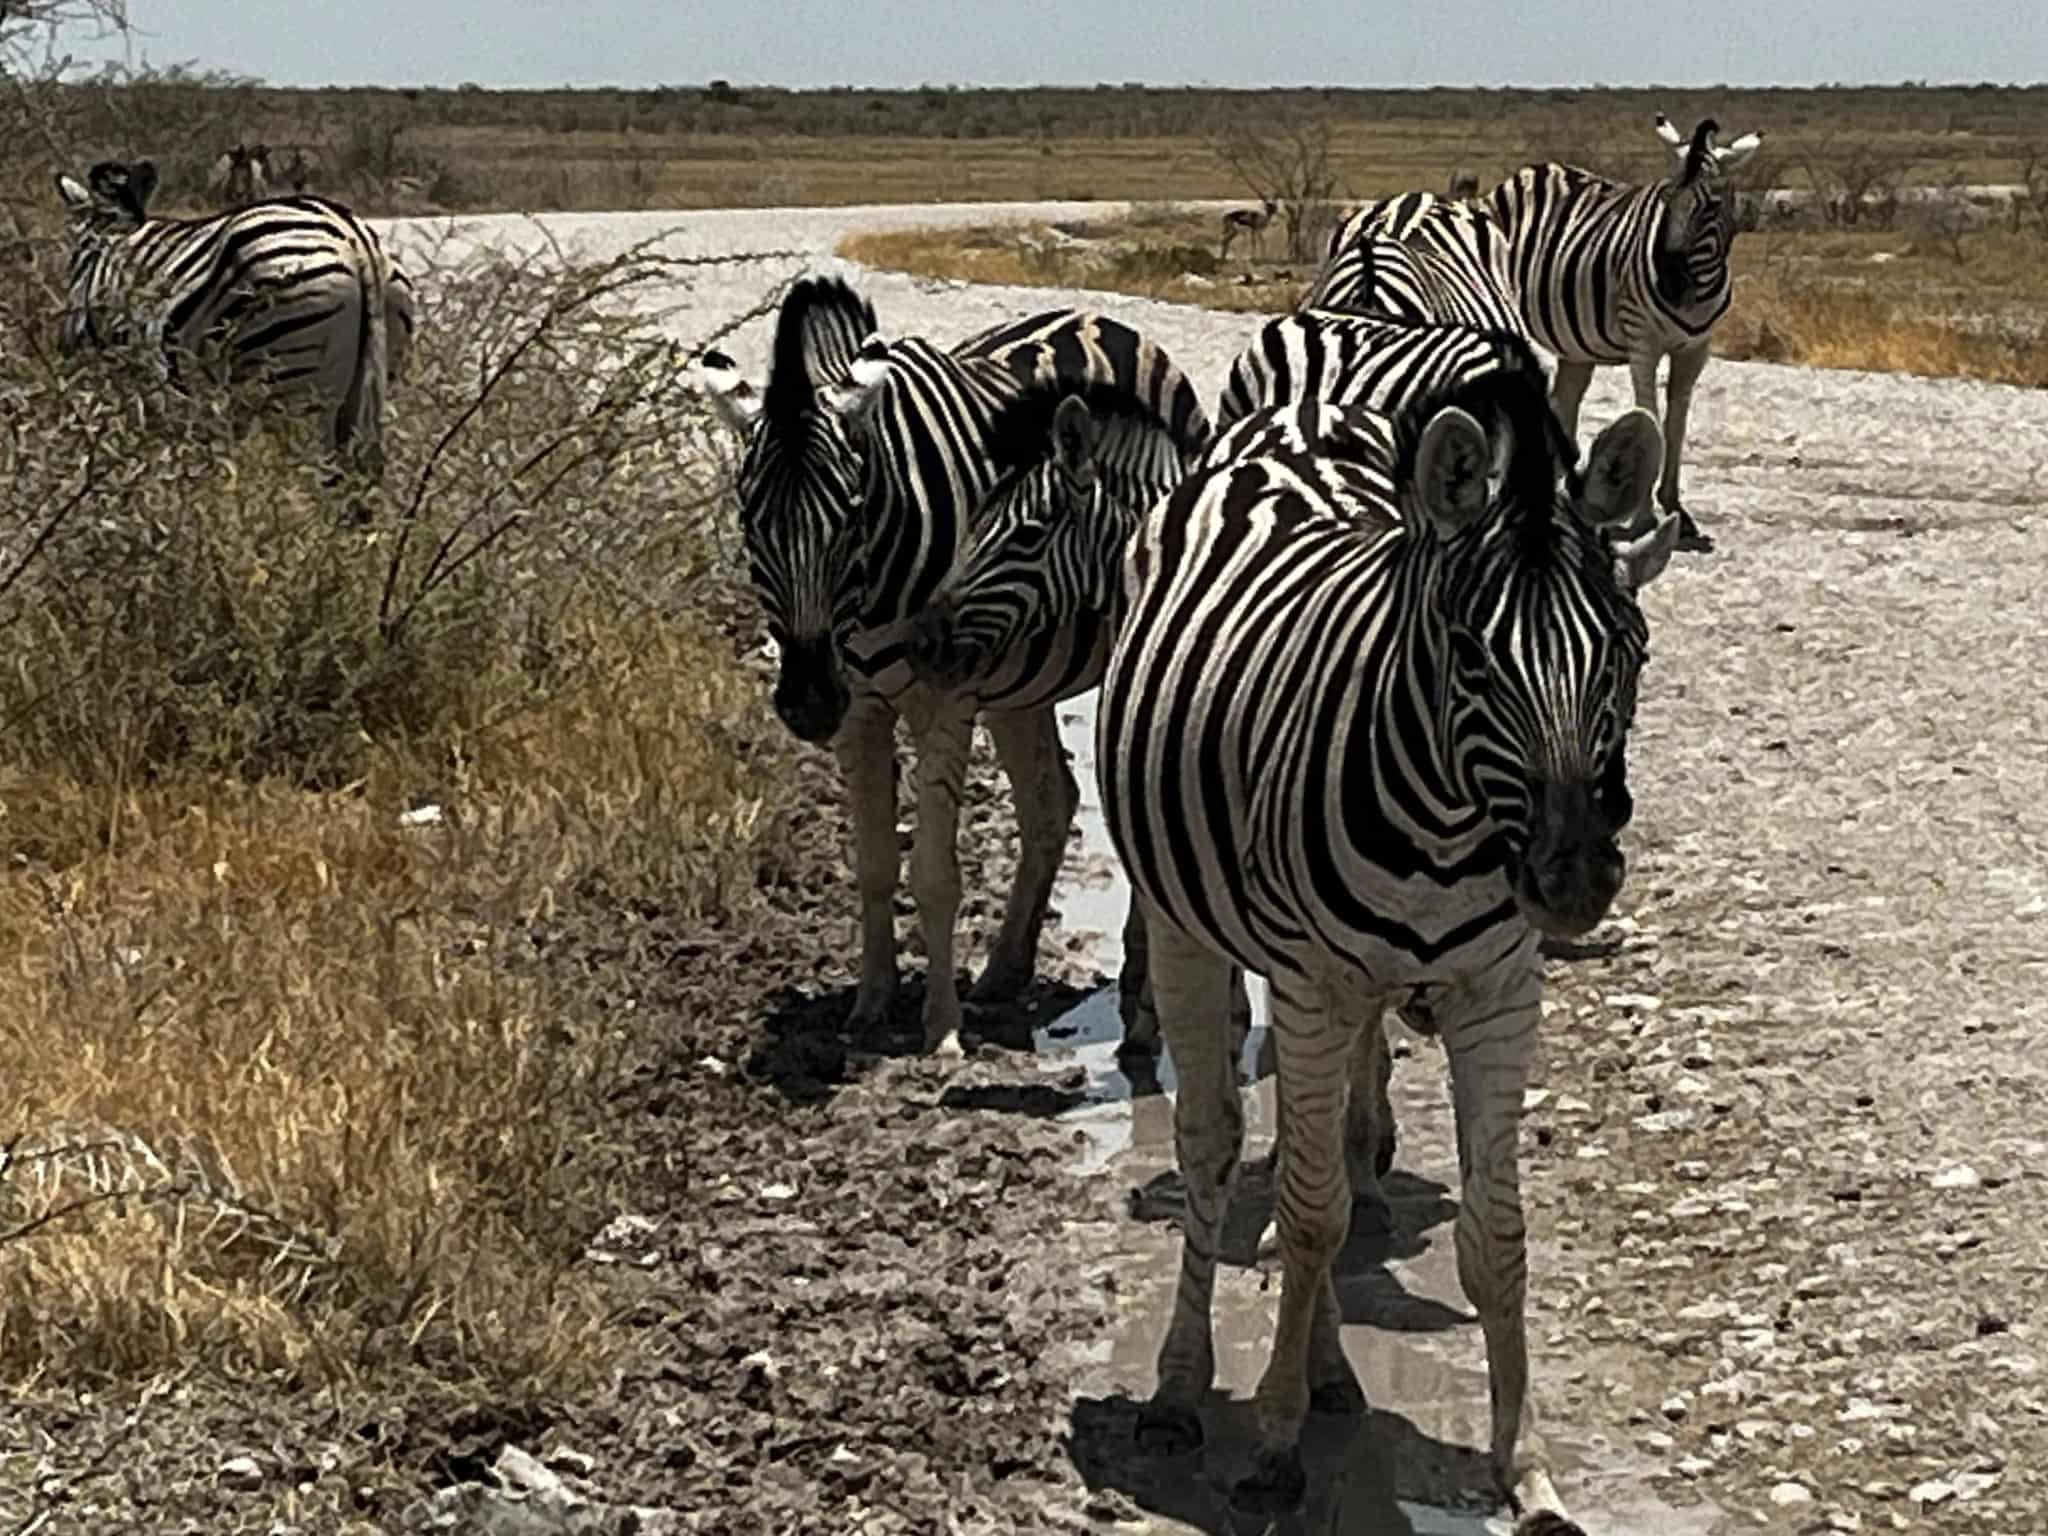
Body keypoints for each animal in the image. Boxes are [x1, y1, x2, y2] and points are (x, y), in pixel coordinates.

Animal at [54, 159, 407, 479]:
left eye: (78, 258)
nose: (66, 344)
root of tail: (354, 240)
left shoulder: (141, 374)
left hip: (293, 387)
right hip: (365, 381)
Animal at [696, 275, 1210, 1055]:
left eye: (849, 515)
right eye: (750, 520)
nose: (807, 703)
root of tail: (1093, 314)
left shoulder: (943, 696)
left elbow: (935, 871)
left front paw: (940, 1027)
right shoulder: (862, 703)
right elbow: (875, 861)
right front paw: (871, 1004)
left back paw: (1129, 986)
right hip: (1018, 683)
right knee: (1051, 801)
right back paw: (1005, 970)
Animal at [1097, 345, 1679, 1527]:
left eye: (1629, 651)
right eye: (1470, 658)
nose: (1573, 877)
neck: (1451, 832)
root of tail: (1298, 421)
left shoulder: (1496, 992)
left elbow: (1492, 1235)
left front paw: (1526, 1467)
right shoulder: (1315, 986)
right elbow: (1311, 1216)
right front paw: (1272, 1447)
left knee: (1306, 1159)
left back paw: (1327, 1373)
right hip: (1190, 931)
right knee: (1217, 1148)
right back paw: (1182, 1390)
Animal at [1488, 112, 1763, 554]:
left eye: (1712, 206)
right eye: (1665, 199)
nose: (1669, 283)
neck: (1695, 290)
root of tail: (1530, 171)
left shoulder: (1695, 349)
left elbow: (1676, 424)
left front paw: (1676, 509)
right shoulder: (1642, 341)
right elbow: (1649, 417)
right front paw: (1645, 515)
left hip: (1576, 344)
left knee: (1564, 399)